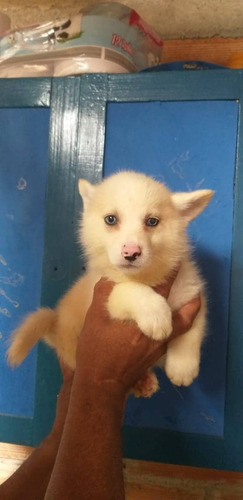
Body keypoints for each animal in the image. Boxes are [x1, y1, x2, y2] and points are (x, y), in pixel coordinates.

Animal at [7, 172, 213, 394]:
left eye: (152, 221)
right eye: (111, 219)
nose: (131, 253)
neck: (147, 277)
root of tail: (56, 327)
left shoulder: (191, 293)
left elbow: (192, 332)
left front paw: (183, 367)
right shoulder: (106, 295)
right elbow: (129, 290)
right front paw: (156, 314)